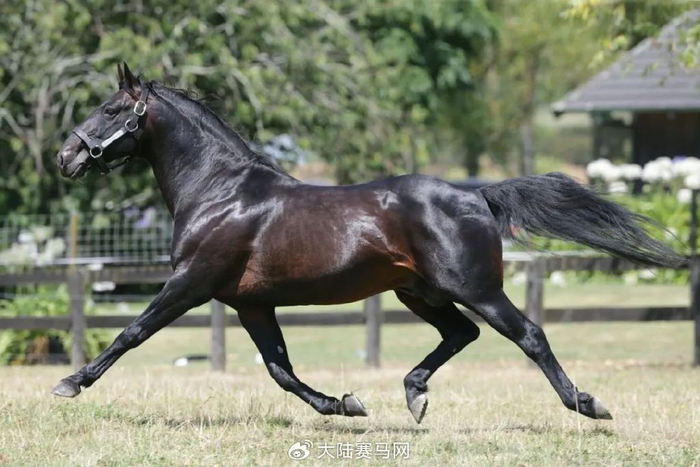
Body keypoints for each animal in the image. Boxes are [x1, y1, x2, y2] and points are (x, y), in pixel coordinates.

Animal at [54, 63, 685, 424]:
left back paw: (588, 405)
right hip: (419, 293)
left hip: (475, 289)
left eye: (111, 109)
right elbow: (280, 369)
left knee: (526, 334)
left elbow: (132, 333)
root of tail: (478, 196)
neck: (221, 191)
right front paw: (345, 405)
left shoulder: (190, 283)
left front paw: (70, 384)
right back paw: (413, 395)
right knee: (463, 334)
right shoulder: (251, 303)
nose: (66, 157)